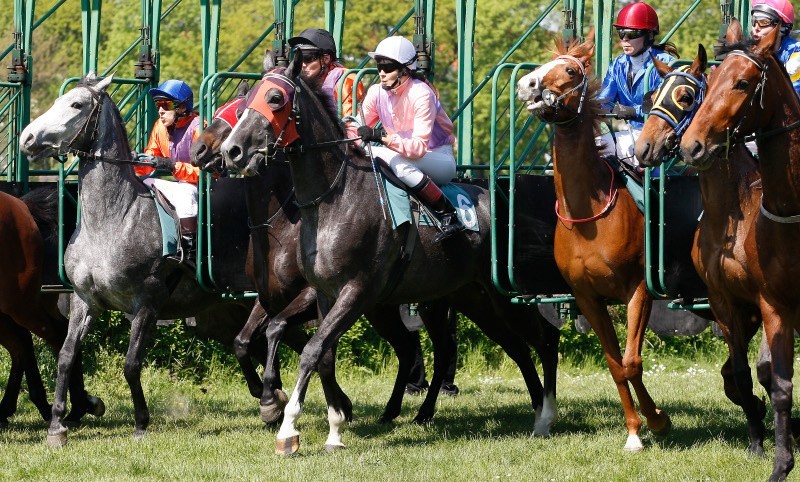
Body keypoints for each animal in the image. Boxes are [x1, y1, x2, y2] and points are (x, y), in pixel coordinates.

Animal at [219, 54, 556, 454]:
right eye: (246, 99)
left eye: (274, 98)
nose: (231, 151)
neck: (334, 200)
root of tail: (499, 199)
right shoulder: (325, 294)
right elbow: (323, 355)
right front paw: (334, 428)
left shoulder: (355, 292)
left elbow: (310, 350)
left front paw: (287, 428)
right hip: (470, 296)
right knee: (511, 346)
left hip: (501, 291)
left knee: (542, 338)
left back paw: (545, 416)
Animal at [520, 35, 668, 450]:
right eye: (543, 65)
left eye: (571, 70)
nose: (528, 84)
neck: (591, 218)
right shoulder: (587, 297)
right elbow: (616, 365)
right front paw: (634, 431)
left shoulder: (639, 289)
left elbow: (632, 361)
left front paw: (657, 420)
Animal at [632, 44, 768, 456]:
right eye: (651, 98)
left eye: (686, 97)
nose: (644, 148)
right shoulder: (728, 304)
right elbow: (734, 373)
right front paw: (757, 412)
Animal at [680, 18, 800, 478]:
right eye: (707, 84)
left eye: (743, 83)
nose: (691, 145)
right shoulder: (767, 305)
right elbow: (773, 382)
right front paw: (778, 461)